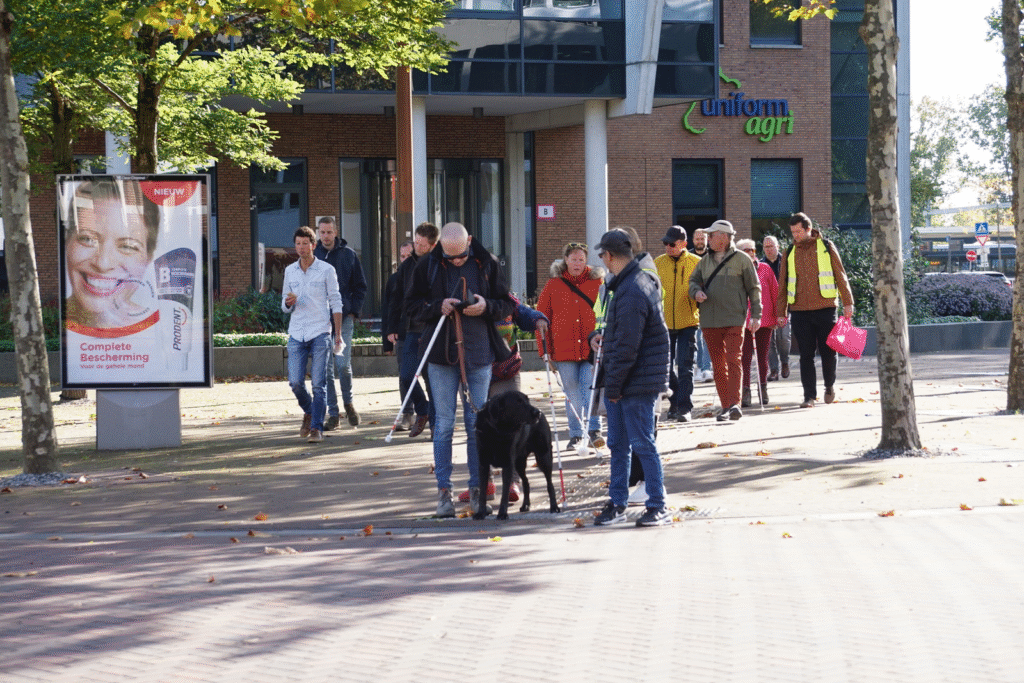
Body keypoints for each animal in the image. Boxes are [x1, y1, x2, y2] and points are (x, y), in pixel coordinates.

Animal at [473, 390, 561, 521]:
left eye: (527, 400)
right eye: (519, 402)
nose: (538, 412)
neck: (497, 432)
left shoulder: (508, 464)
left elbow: (505, 493)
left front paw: (502, 513)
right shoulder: (483, 464)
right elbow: (483, 492)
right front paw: (481, 513)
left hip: (543, 457)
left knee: (549, 484)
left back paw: (554, 506)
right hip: (519, 463)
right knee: (526, 482)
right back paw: (525, 505)